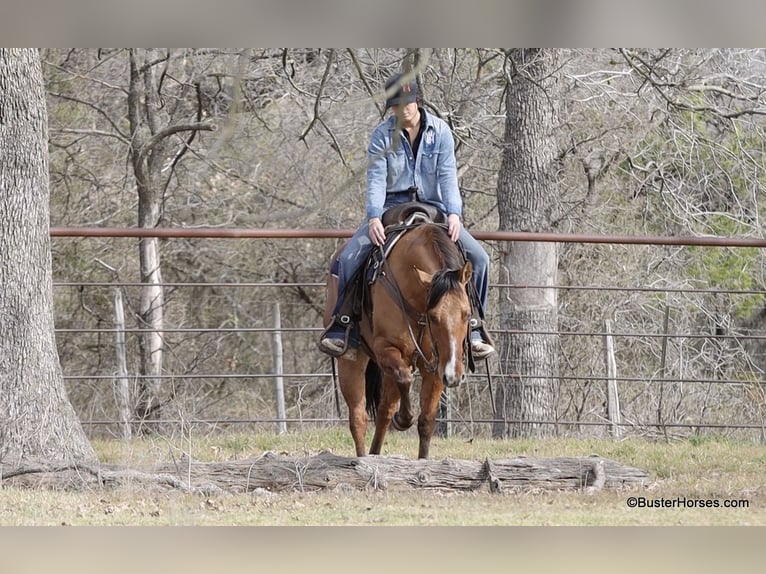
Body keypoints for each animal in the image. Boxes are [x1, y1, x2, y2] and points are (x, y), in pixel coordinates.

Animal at [323, 217, 473, 459]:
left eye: (467, 314)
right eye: (434, 316)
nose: (453, 375)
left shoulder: (436, 364)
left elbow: (426, 421)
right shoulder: (387, 348)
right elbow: (405, 378)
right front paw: (403, 419)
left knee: (384, 410)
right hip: (352, 360)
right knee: (358, 418)